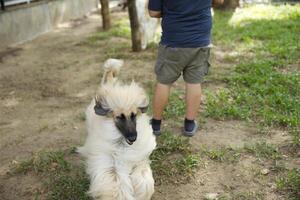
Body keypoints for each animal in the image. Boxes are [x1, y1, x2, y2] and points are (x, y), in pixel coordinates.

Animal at [77, 58, 157, 199]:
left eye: (134, 115)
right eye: (120, 117)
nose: (133, 138)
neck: (122, 143)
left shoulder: (138, 160)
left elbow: (144, 179)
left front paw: (142, 193)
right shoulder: (110, 165)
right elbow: (117, 186)